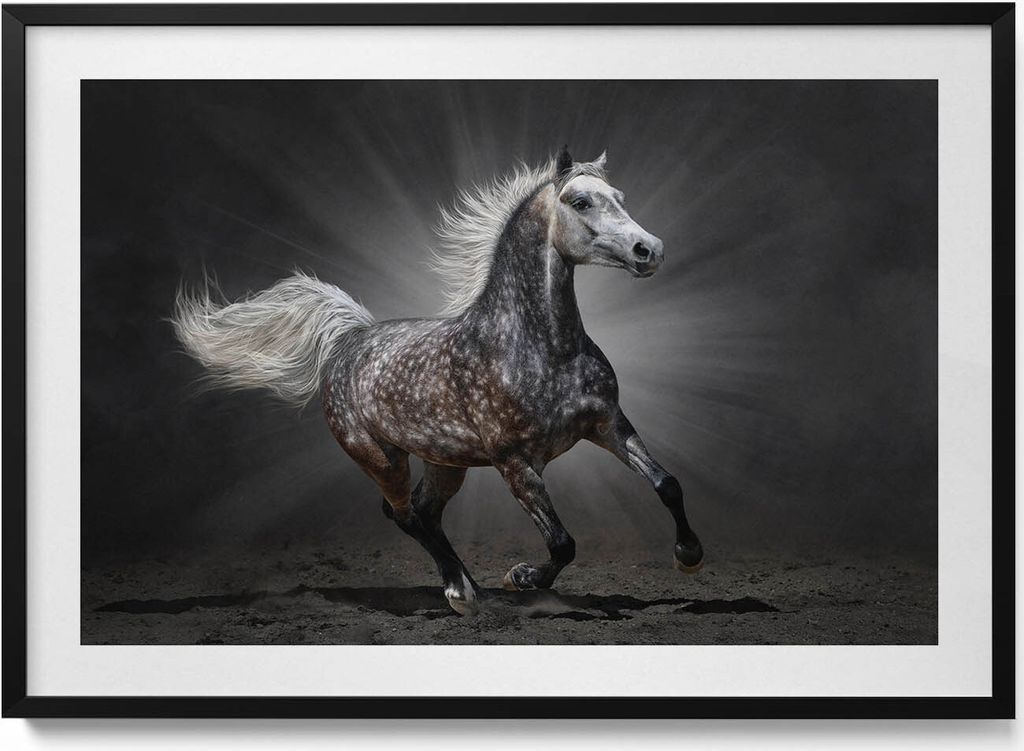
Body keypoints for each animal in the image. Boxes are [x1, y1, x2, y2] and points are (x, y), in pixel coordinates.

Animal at [172, 147, 703, 616]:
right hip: (380, 457)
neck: (543, 348)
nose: (649, 250)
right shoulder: (515, 463)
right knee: (404, 513)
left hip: (445, 462)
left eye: (619, 196)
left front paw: (690, 557)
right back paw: (462, 593)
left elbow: (668, 484)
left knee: (424, 513)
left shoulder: (608, 424)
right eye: (580, 202)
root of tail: (350, 338)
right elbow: (562, 543)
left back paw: (466, 585)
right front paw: (520, 577)